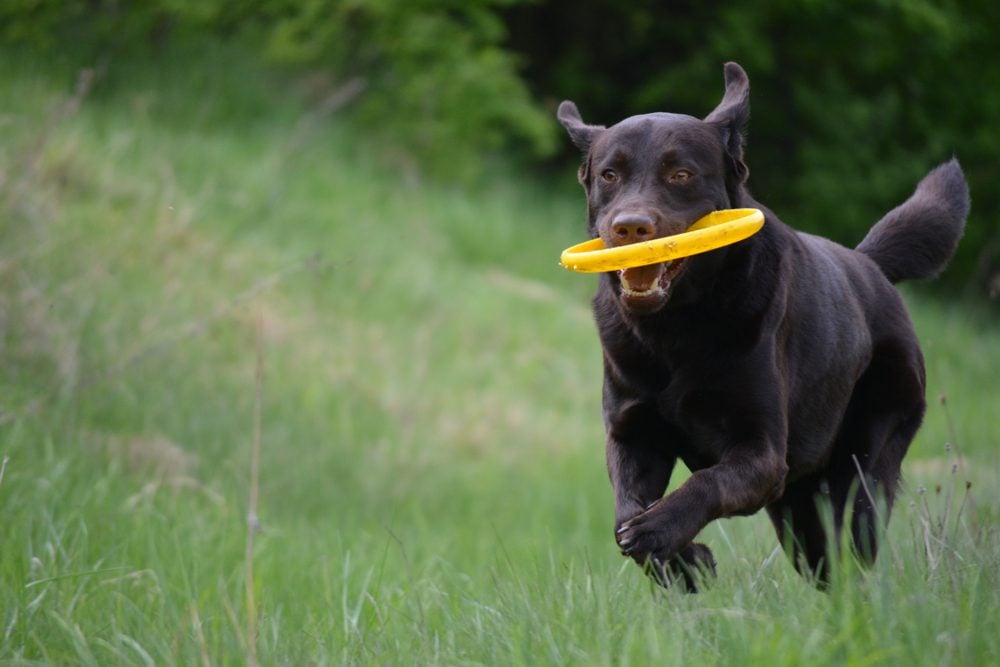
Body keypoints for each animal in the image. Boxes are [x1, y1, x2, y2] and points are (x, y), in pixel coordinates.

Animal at [556, 62, 968, 588]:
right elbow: (624, 514)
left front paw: (661, 532)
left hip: (862, 469)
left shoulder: (763, 455)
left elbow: (706, 480)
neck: (674, 330)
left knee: (852, 553)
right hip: (798, 508)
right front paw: (683, 561)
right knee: (823, 563)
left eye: (681, 174)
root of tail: (869, 264)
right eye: (610, 175)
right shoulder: (633, 436)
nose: (629, 227)